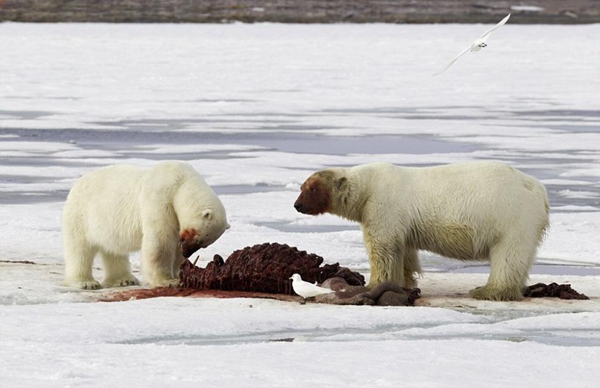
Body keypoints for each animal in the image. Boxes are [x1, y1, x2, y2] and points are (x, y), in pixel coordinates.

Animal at [61, 159, 230, 290]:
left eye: (204, 245)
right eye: (198, 235)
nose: (187, 252)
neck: (181, 182)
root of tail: (77, 183)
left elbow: (175, 246)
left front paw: (178, 274)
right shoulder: (160, 199)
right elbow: (161, 241)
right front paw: (168, 281)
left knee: (113, 249)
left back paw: (124, 280)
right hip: (81, 214)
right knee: (80, 249)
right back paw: (85, 282)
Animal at [292, 162, 552, 302]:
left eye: (313, 189)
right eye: (302, 186)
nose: (297, 205)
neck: (367, 188)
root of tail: (539, 191)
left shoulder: (383, 206)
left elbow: (383, 248)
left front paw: (372, 284)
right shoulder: (401, 221)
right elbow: (404, 250)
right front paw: (405, 281)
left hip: (511, 215)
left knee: (507, 255)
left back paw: (488, 291)